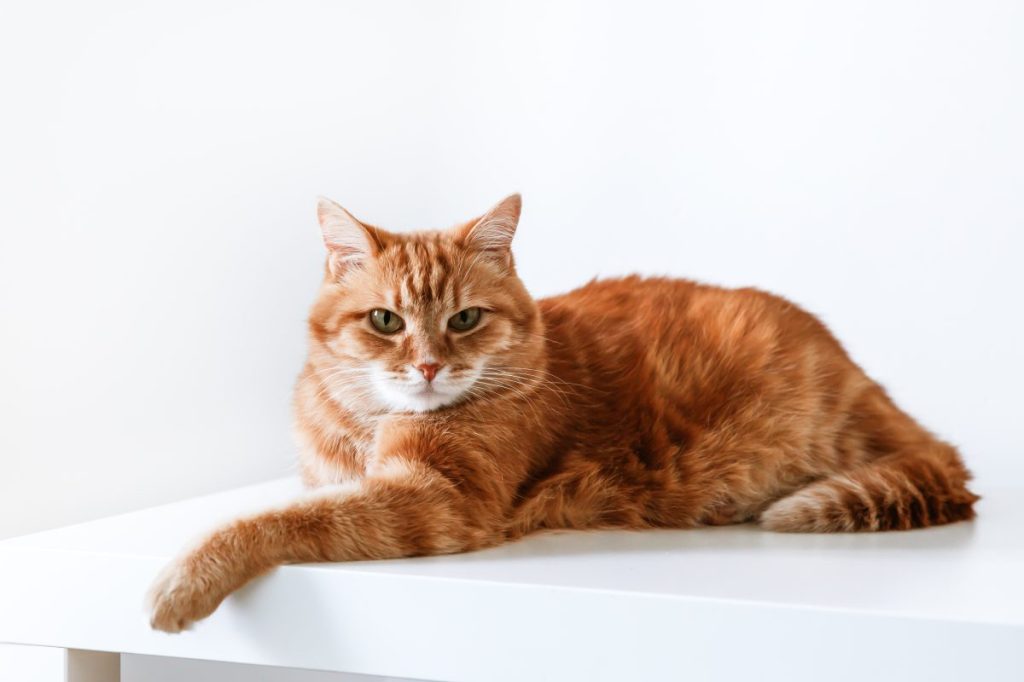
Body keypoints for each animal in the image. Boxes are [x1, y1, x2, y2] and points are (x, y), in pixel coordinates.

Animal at [146, 192, 974, 630]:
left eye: (465, 320)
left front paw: (183, 578)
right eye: (386, 320)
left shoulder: (435, 501)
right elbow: (297, 503)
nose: (428, 365)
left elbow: (271, 521)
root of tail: (860, 376)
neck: (365, 423)